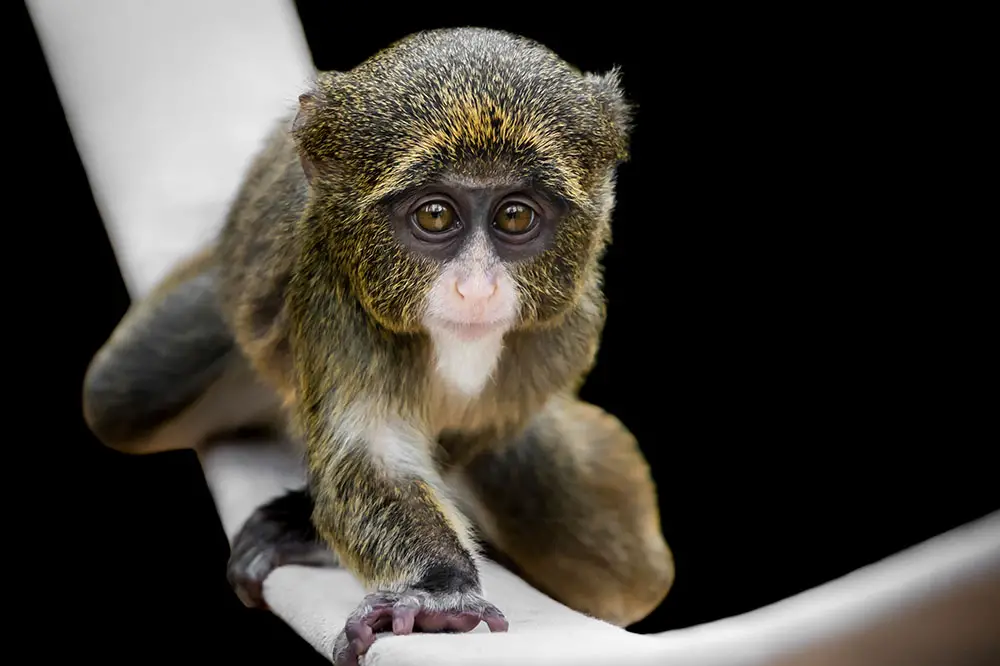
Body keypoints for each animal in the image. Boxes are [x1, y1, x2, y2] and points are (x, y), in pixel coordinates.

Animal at [82, 28, 676, 660]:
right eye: (436, 215)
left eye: (515, 217)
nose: (476, 289)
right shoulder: (332, 282)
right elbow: (371, 448)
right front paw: (440, 590)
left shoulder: (568, 327)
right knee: (118, 396)